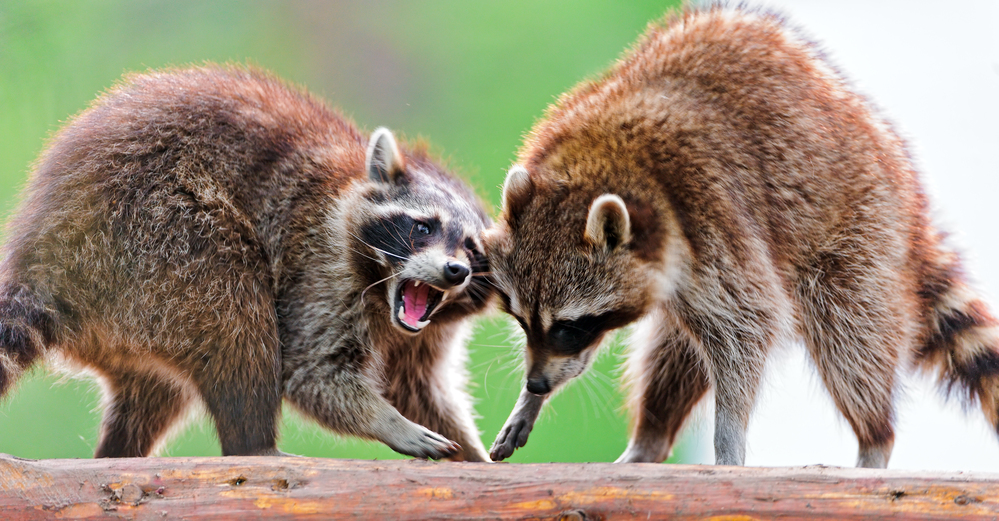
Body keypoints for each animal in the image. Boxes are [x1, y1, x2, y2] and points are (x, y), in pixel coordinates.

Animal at [0, 65, 496, 460]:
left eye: (472, 250)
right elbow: (312, 371)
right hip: (153, 237)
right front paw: (389, 421)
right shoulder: (320, 262)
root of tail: (41, 257)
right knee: (237, 313)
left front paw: (472, 455)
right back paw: (254, 444)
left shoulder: (427, 331)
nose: (455, 271)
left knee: (156, 390)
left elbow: (417, 389)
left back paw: (120, 451)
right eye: (423, 228)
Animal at [488, 5, 999, 468]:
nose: (535, 383)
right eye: (522, 321)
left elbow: (749, 324)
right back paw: (650, 437)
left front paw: (729, 435)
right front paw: (532, 398)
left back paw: (876, 436)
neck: (600, 159)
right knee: (675, 353)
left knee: (850, 338)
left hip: (858, 228)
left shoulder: (712, 217)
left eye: (570, 326)